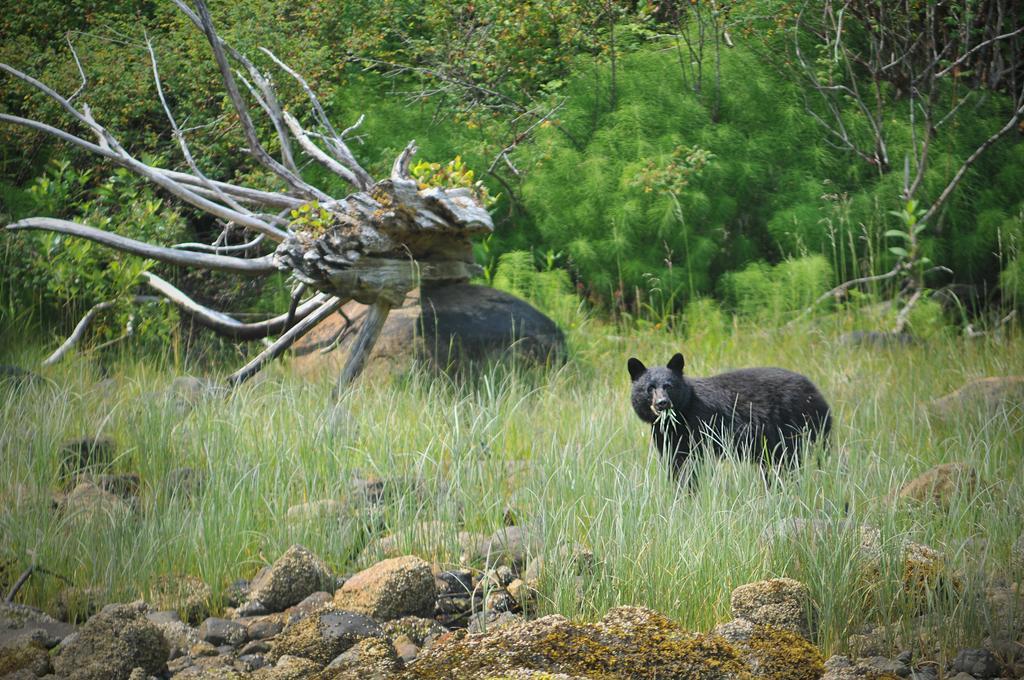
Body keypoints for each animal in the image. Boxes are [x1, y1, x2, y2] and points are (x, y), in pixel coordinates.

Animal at [622, 352, 831, 481]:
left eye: (669, 386)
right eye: (649, 388)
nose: (662, 403)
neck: (681, 414)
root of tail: (818, 393)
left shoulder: (700, 427)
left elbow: (692, 465)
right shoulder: (667, 437)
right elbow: (676, 463)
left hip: (798, 426)